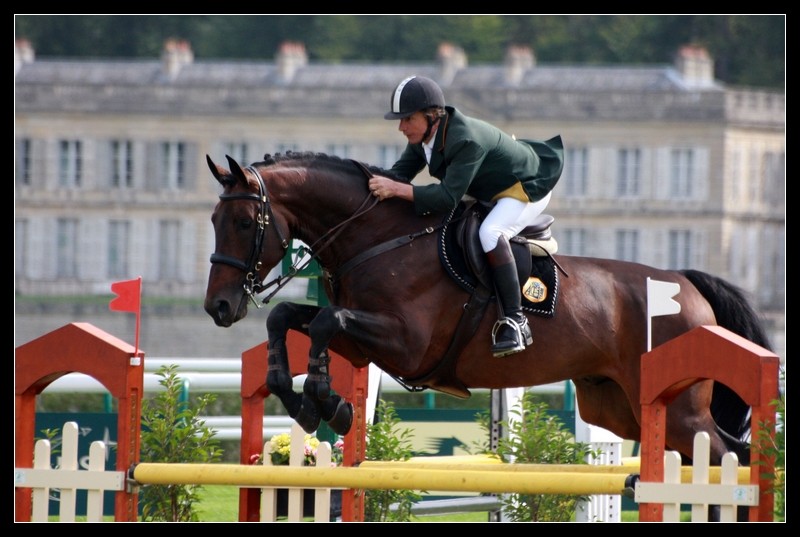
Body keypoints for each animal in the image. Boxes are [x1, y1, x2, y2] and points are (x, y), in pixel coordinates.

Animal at [203, 152, 772, 474]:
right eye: (212, 219)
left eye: (242, 221)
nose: (218, 307)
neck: (380, 238)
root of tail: (687, 285)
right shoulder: (364, 336)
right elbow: (286, 319)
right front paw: (301, 400)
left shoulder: (404, 344)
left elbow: (323, 322)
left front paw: (329, 402)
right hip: (617, 407)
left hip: (679, 410)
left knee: (728, 456)